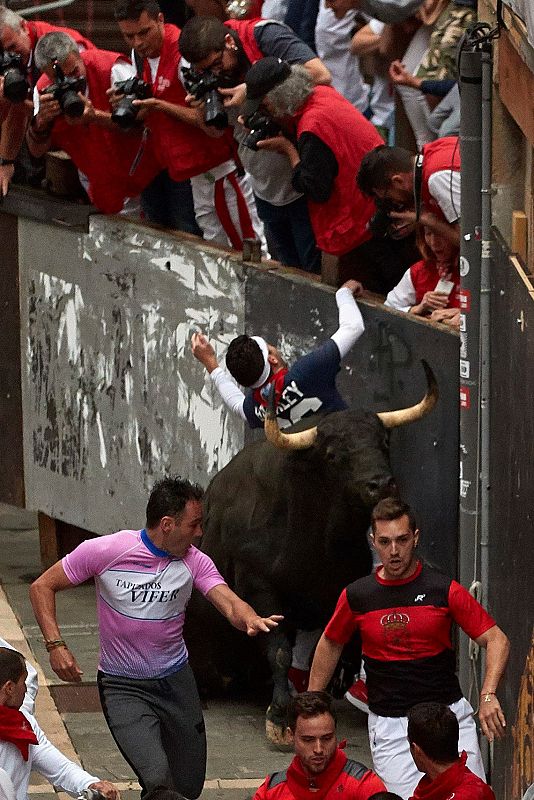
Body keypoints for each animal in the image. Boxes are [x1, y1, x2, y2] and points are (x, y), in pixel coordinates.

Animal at [186, 360, 438, 744]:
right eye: (334, 455)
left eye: (384, 442)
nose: (381, 484)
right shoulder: (259, 589)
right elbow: (278, 649)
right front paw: (279, 716)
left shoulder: (346, 584)